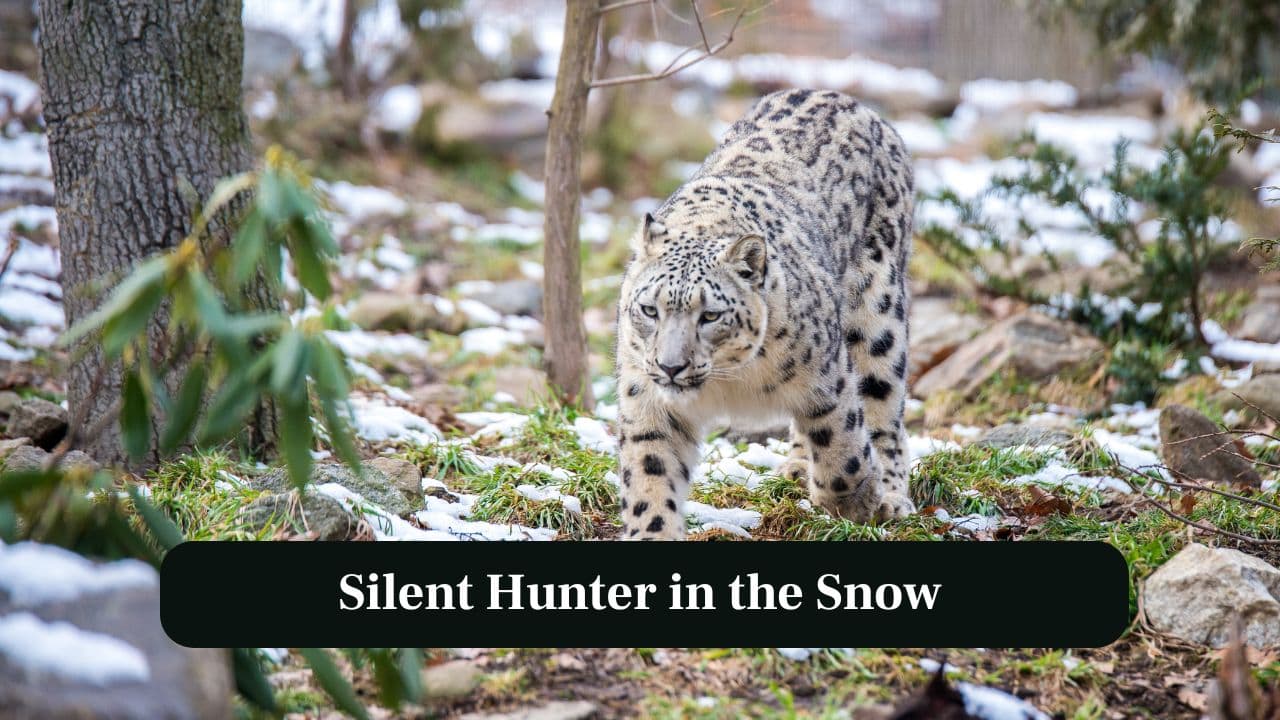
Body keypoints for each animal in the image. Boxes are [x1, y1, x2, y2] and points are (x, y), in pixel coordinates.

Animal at [613, 88, 915, 540]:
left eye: (710, 316)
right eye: (650, 310)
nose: (670, 366)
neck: (732, 382)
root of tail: (841, 97)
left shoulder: (827, 377)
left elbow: (842, 443)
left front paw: (858, 502)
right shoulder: (647, 397)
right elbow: (652, 473)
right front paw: (654, 530)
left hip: (879, 314)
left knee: (883, 408)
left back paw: (891, 496)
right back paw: (797, 468)